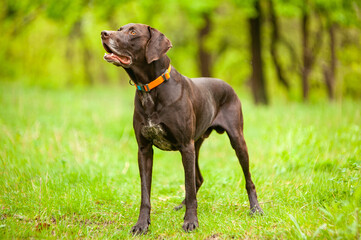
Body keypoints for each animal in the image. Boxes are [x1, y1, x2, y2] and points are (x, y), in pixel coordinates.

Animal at [100, 23, 262, 234]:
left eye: (133, 32)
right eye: (120, 29)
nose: (104, 33)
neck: (150, 88)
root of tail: (228, 85)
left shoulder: (185, 146)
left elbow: (189, 186)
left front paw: (191, 221)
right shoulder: (144, 150)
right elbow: (146, 193)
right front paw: (142, 224)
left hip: (236, 140)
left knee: (247, 179)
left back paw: (255, 208)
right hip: (196, 145)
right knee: (197, 179)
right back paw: (181, 205)